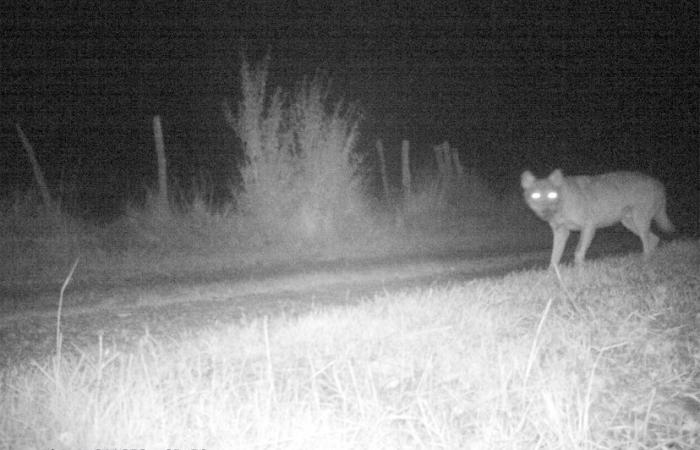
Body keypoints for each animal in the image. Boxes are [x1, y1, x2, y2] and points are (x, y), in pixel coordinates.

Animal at [520, 169, 672, 268]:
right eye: (535, 196)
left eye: (552, 195)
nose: (545, 212)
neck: (562, 204)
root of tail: (659, 183)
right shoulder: (561, 232)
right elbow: (554, 258)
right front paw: (552, 275)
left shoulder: (588, 227)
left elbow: (578, 252)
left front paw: (580, 271)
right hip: (629, 223)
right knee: (654, 239)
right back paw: (647, 260)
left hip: (639, 222)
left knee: (648, 242)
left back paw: (645, 261)